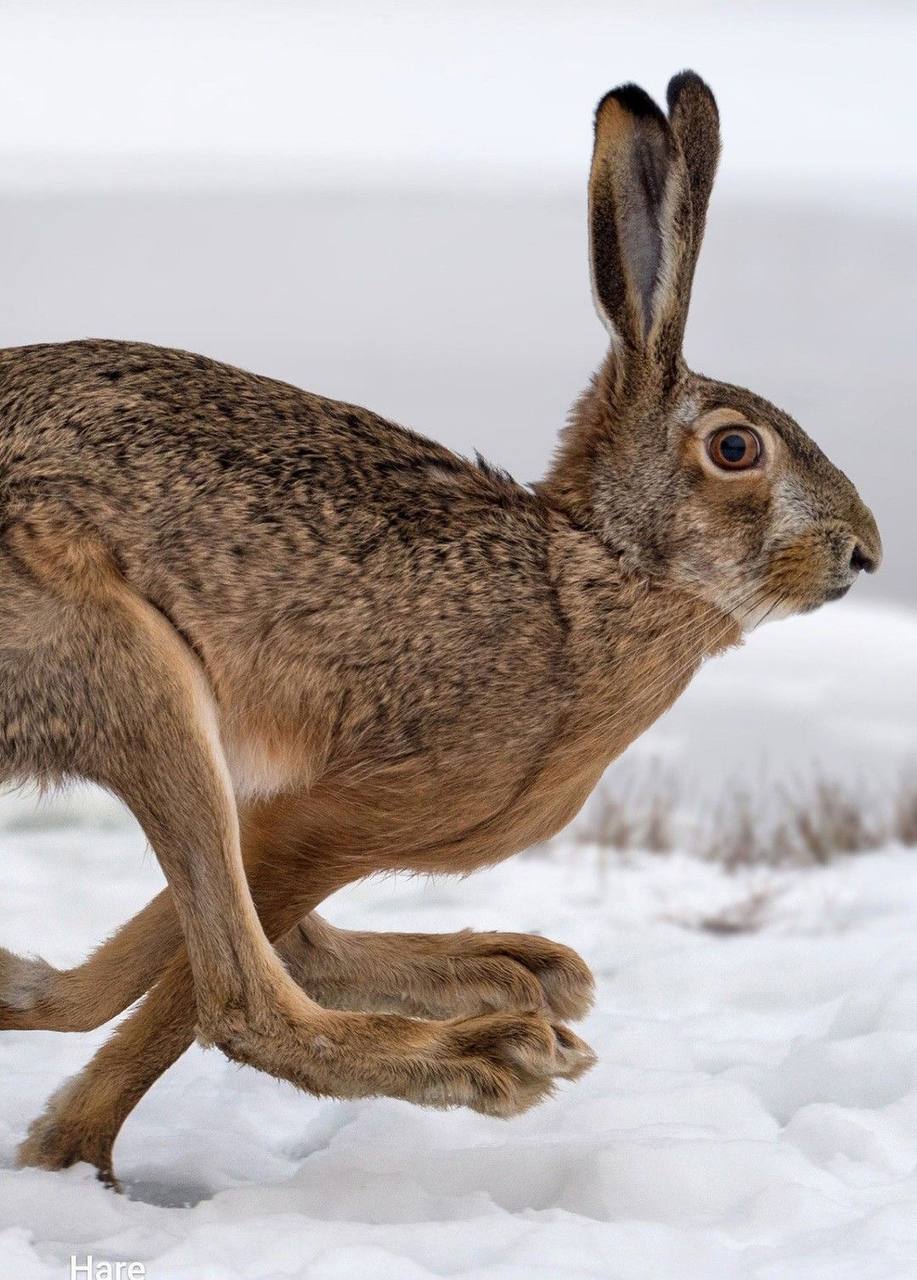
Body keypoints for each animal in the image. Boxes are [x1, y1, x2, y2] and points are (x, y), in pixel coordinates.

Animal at [0, 71, 880, 1186]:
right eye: (734, 448)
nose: (864, 552)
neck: (590, 571)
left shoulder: (286, 817)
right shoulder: (330, 816)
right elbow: (189, 994)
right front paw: (67, 1153)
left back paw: (521, 969)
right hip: (131, 670)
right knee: (231, 996)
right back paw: (491, 1048)